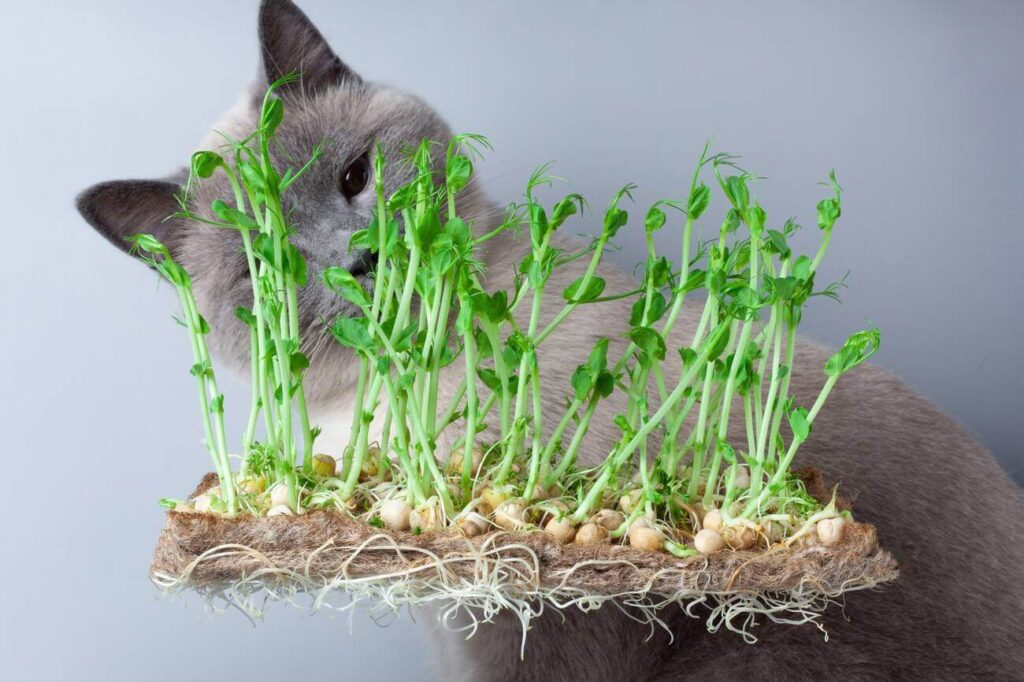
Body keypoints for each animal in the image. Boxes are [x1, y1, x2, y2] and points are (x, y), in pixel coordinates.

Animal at [77, 1, 1024, 679]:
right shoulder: (452, 603)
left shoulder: (530, 613)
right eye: (264, 268)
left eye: (354, 176)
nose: (362, 260)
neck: (392, 394)